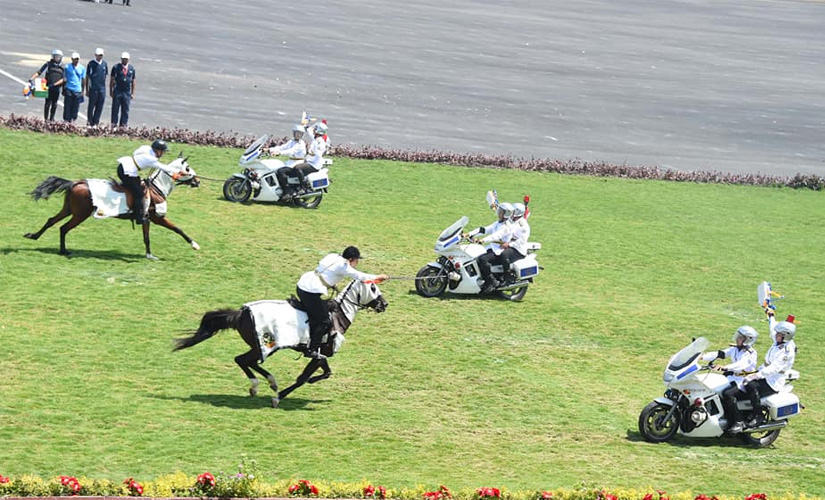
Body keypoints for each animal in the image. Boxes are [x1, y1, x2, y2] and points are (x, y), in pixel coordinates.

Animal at [24, 156, 200, 260]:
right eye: (187, 168)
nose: (198, 181)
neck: (156, 188)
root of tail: (75, 183)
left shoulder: (147, 220)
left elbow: (147, 238)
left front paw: (149, 255)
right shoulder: (157, 218)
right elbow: (177, 229)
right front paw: (194, 244)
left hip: (69, 209)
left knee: (52, 221)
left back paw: (34, 236)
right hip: (80, 214)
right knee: (64, 227)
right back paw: (63, 251)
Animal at [173, 279, 388, 408]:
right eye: (373, 288)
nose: (384, 304)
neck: (337, 315)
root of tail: (240, 313)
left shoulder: (321, 354)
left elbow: (325, 372)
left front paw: (309, 381)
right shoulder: (318, 354)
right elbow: (303, 378)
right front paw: (279, 397)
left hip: (258, 346)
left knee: (243, 360)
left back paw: (264, 384)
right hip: (264, 346)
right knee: (244, 360)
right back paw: (263, 384)